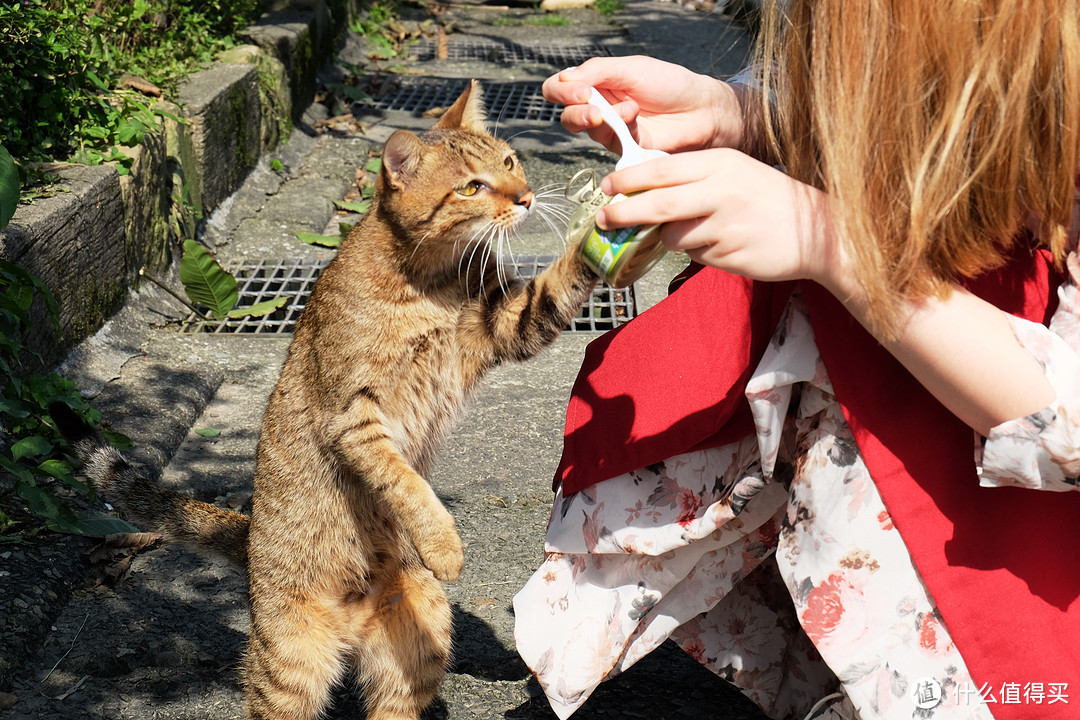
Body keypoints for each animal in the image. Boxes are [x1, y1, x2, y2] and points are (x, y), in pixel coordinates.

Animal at [52, 81, 600, 720]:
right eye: (472, 187)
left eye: (510, 163)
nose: (528, 197)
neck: (432, 281)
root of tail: (251, 543)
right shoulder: (356, 415)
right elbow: (405, 483)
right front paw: (443, 544)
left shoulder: (506, 325)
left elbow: (558, 286)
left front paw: (610, 233)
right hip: (291, 665)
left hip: (421, 642)